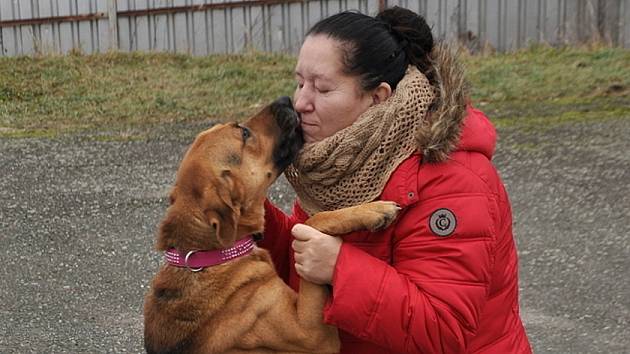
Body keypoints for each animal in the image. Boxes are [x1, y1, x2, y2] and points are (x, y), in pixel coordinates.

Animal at [144, 97, 400, 354]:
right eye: (244, 133)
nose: (285, 100)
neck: (209, 254)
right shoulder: (312, 334)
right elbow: (313, 221)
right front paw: (372, 211)